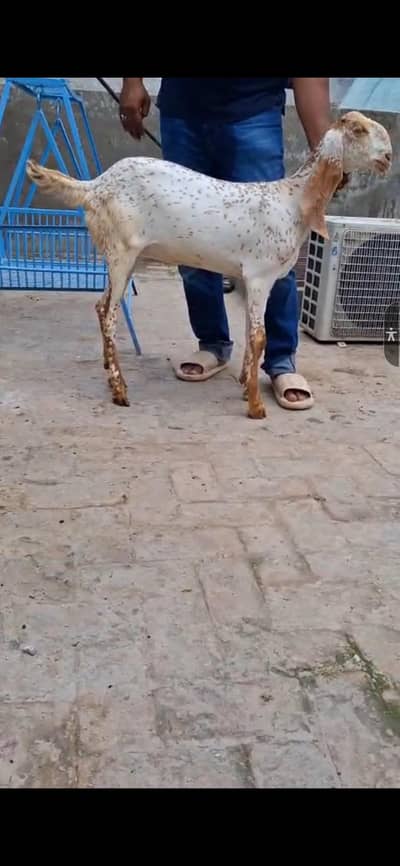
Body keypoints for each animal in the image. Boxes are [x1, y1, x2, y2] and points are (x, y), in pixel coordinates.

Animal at [26, 111, 392, 419]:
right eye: (358, 130)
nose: (388, 157)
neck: (292, 199)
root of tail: (94, 185)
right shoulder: (259, 276)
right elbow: (258, 336)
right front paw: (256, 406)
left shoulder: (259, 278)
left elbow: (250, 332)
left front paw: (245, 387)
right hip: (121, 252)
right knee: (110, 315)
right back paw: (119, 389)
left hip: (121, 257)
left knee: (101, 307)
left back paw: (108, 371)